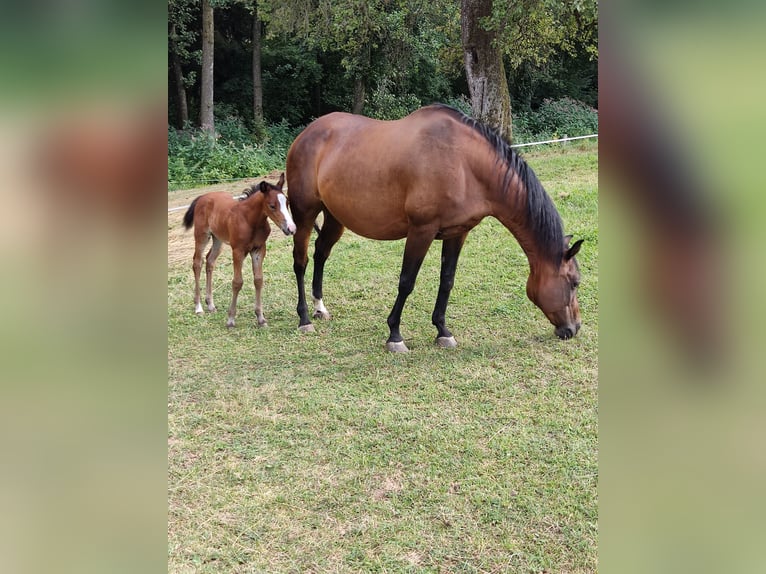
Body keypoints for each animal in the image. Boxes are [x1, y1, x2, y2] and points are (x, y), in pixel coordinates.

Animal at [182, 173, 296, 328]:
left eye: (287, 203)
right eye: (272, 206)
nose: (291, 228)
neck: (250, 221)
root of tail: (203, 196)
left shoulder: (259, 249)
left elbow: (258, 280)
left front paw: (260, 318)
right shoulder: (237, 251)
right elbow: (237, 282)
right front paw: (231, 319)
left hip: (218, 238)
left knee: (210, 261)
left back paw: (210, 304)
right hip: (202, 236)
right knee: (197, 262)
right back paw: (198, 307)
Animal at [285, 104, 584, 352]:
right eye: (574, 282)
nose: (573, 328)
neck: (464, 164)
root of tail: (306, 134)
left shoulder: (457, 233)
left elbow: (447, 281)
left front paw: (443, 331)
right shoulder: (421, 230)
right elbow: (406, 281)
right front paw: (395, 336)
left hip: (335, 218)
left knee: (321, 253)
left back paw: (320, 307)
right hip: (304, 214)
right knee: (300, 261)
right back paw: (304, 318)